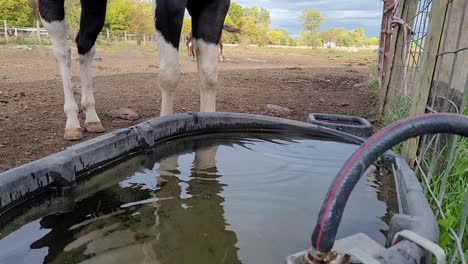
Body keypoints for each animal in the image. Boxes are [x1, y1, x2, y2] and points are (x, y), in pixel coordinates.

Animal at [38, 0, 232, 140]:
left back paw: (91, 117)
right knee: (63, 52)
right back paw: (72, 122)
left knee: (85, 46)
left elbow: (209, 76)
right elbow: (170, 76)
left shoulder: (217, 4)